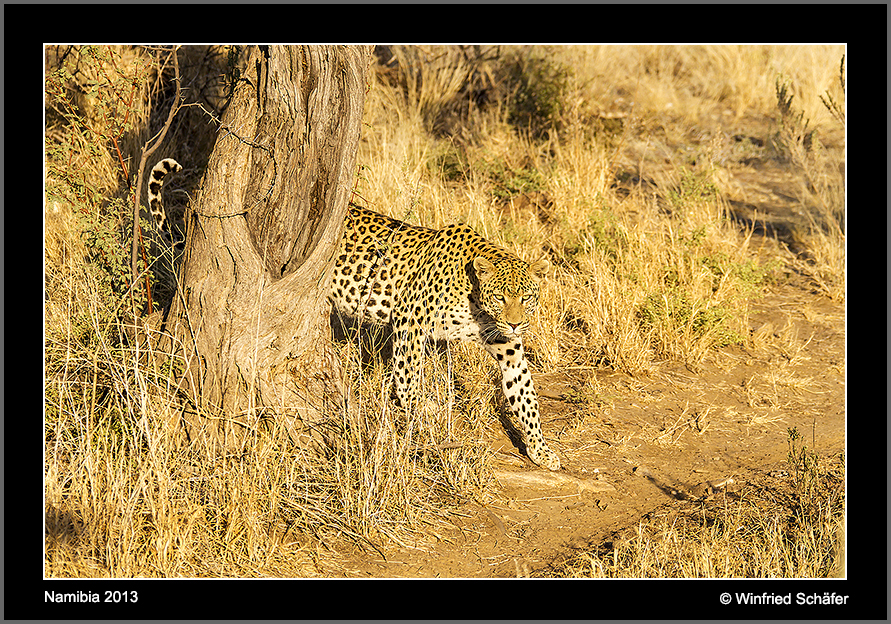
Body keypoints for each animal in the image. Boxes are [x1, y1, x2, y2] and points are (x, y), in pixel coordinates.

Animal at [332, 207, 560, 470]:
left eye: (526, 298)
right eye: (499, 297)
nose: (514, 324)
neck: (475, 301)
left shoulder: (509, 349)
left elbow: (525, 396)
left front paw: (540, 449)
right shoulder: (409, 318)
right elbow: (408, 373)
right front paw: (417, 411)